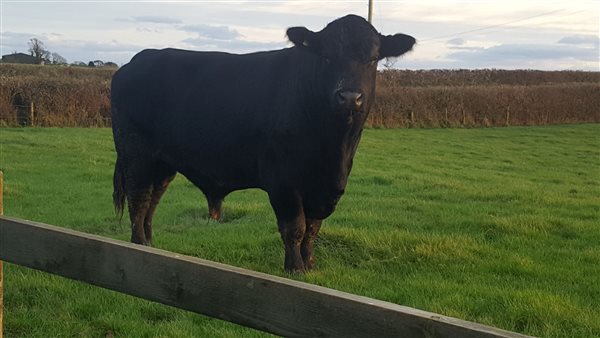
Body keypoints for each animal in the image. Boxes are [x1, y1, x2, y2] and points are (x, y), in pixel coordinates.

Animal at [111, 14, 412, 274]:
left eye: (372, 59)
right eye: (326, 57)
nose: (349, 96)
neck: (333, 147)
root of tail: (135, 61)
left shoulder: (326, 186)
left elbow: (313, 228)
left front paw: (310, 264)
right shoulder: (282, 180)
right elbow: (295, 227)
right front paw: (295, 269)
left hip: (163, 162)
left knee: (153, 199)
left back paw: (151, 246)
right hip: (136, 155)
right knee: (139, 199)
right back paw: (139, 244)